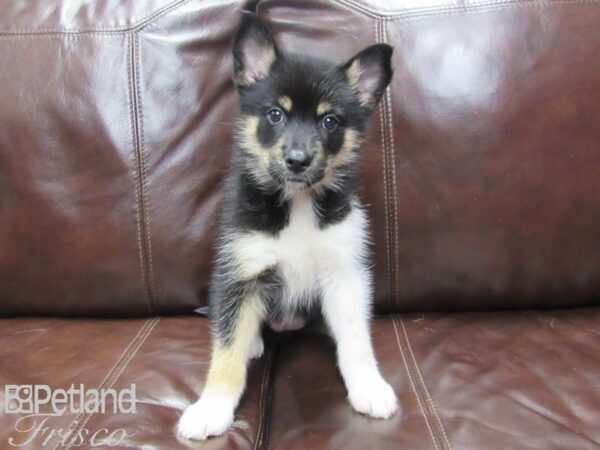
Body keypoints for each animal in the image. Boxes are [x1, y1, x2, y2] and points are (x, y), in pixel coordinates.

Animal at [178, 11, 398, 440]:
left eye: (330, 121)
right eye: (275, 114)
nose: (298, 160)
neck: (297, 203)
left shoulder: (345, 271)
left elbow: (356, 337)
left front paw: (368, 386)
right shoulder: (241, 271)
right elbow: (226, 349)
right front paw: (212, 406)